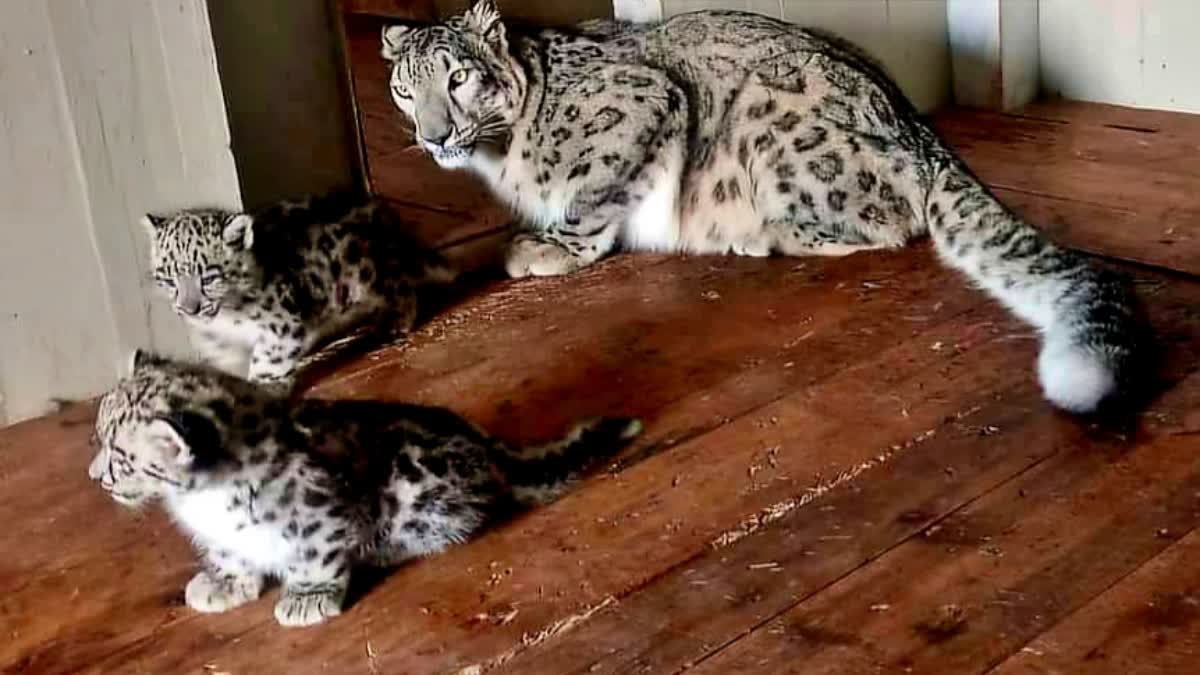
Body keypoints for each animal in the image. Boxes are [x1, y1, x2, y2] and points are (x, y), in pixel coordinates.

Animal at [379, 2, 1147, 413]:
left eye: (459, 77)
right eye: (404, 90)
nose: (434, 135)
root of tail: (918, 125)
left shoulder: (639, 104)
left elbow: (597, 190)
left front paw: (545, 247)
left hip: (772, 116)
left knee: (892, 218)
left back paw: (758, 234)